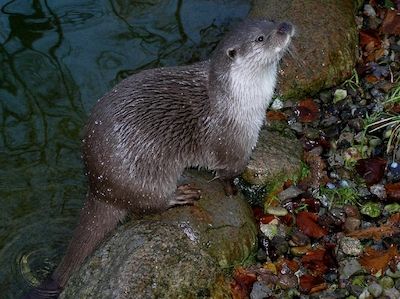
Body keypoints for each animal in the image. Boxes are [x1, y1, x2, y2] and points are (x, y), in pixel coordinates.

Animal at [24, 19, 294, 299]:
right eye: (261, 38)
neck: (236, 98)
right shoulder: (231, 139)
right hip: (144, 178)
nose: (286, 26)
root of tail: (99, 186)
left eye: (272, 22)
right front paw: (233, 189)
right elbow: (227, 171)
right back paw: (179, 195)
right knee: (149, 204)